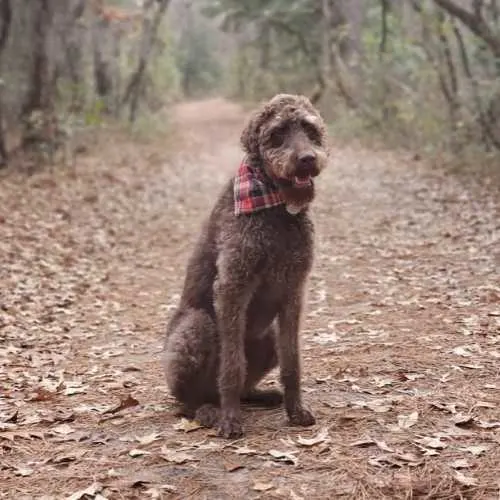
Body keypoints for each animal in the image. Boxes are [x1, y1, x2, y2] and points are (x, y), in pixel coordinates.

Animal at [162, 94, 330, 438]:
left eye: (309, 129)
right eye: (277, 133)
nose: (307, 159)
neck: (276, 206)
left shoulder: (294, 290)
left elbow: (293, 362)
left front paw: (295, 410)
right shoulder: (232, 287)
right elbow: (232, 365)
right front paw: (230, 420)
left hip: (269, 336)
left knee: (246, 386)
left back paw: (261, 395)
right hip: (197, 326)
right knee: (189, 401)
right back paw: (210, 411)